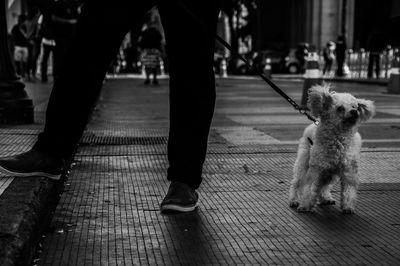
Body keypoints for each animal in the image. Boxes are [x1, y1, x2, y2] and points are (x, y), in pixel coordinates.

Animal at [290, 85, 374, 214]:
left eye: (354, 106)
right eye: (340, 108)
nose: (354, 112)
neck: (338, 140)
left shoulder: (349, 171)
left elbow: (349, 190)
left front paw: (348, 207)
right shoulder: (316, 169)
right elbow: (310, 188)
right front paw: (305, 205)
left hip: (328, 172)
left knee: (323, 185)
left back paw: (325, 198)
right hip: (304, 162)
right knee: (298, 182)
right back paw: (294, 199)